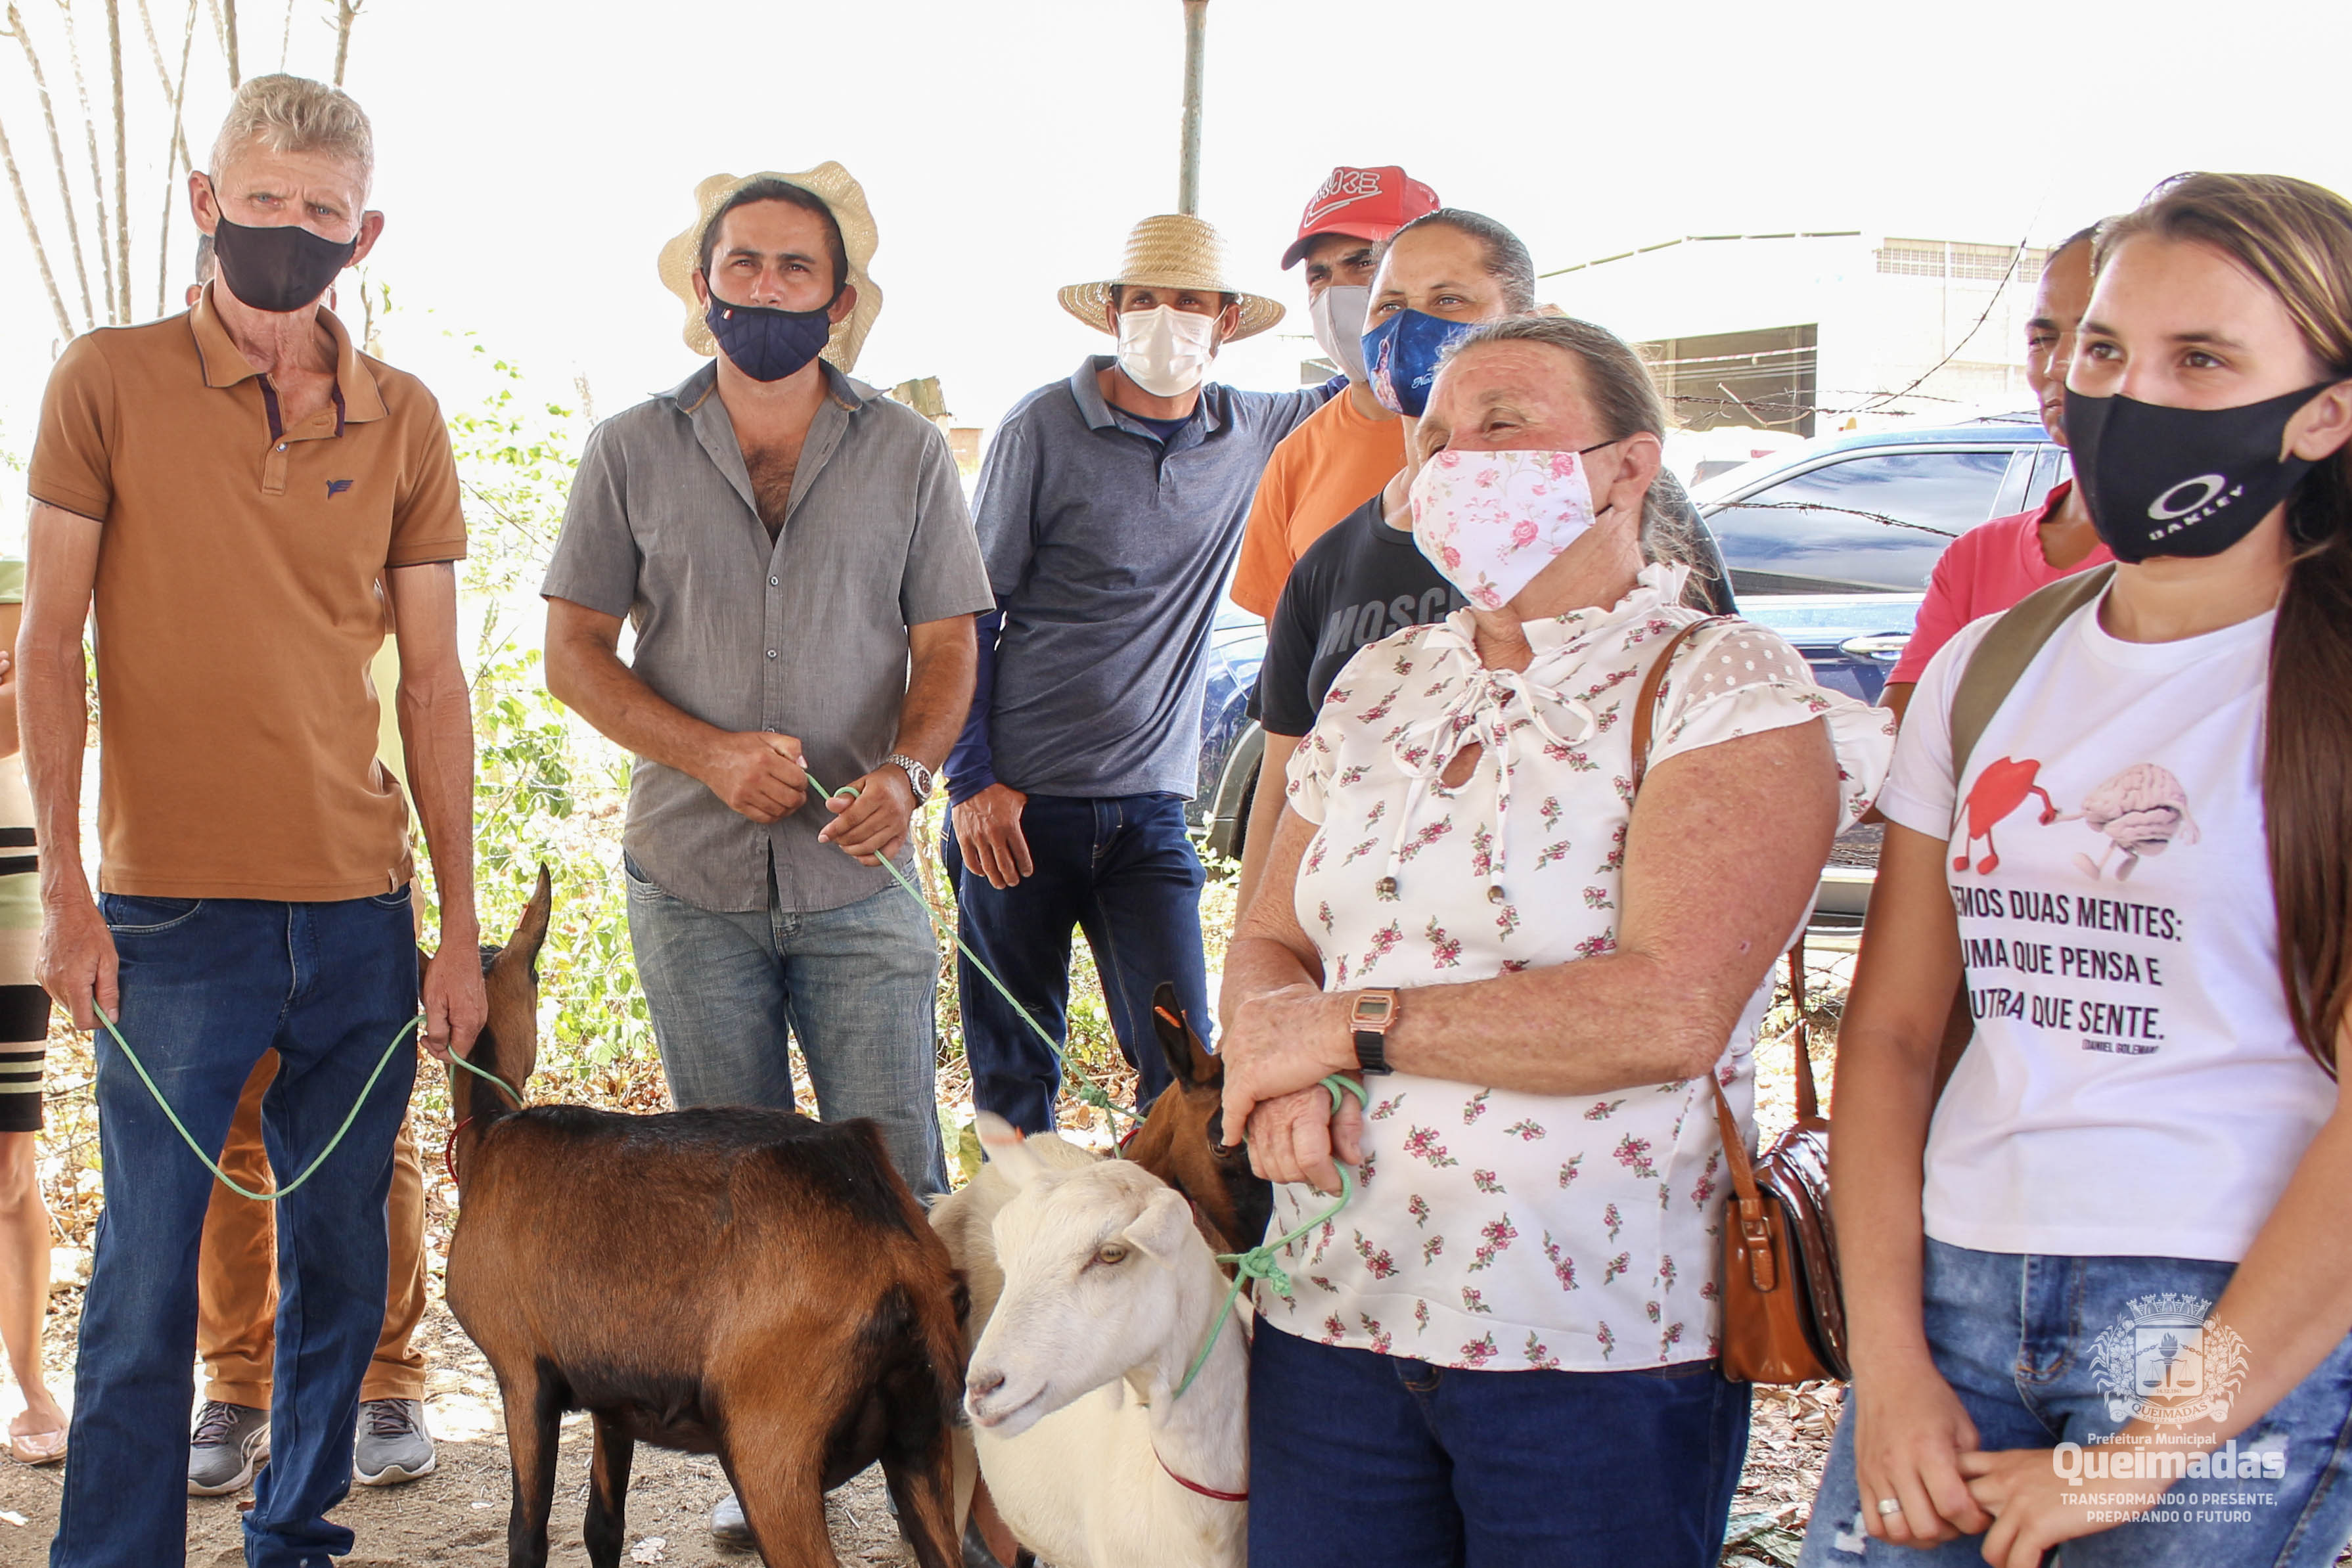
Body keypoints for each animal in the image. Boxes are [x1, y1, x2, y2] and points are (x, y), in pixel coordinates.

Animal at [442, 869, 967, 1568]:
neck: (490, 1135)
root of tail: (896, 1247)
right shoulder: (612, 1394)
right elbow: (602, 1524)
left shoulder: (522, 1371)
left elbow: (526, 1535)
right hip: (920, 1438)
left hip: (770, 1443)